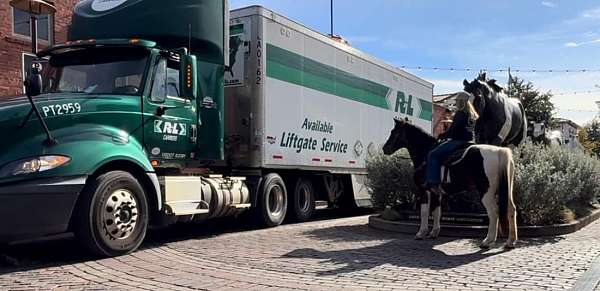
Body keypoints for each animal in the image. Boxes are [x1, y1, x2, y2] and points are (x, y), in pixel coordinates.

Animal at [386, 120, 516, 250]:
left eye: (394, 132)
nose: (384, 148)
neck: (425, 152)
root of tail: (499, 151)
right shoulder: (436, 192)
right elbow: (436, 212)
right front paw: (434, 232)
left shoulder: (424, 190)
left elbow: (424, 212)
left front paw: (421, 233)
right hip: (506, 191)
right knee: (511, 209)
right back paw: (510, 242)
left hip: (486, 192)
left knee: (493, 213)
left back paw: (487, 241)